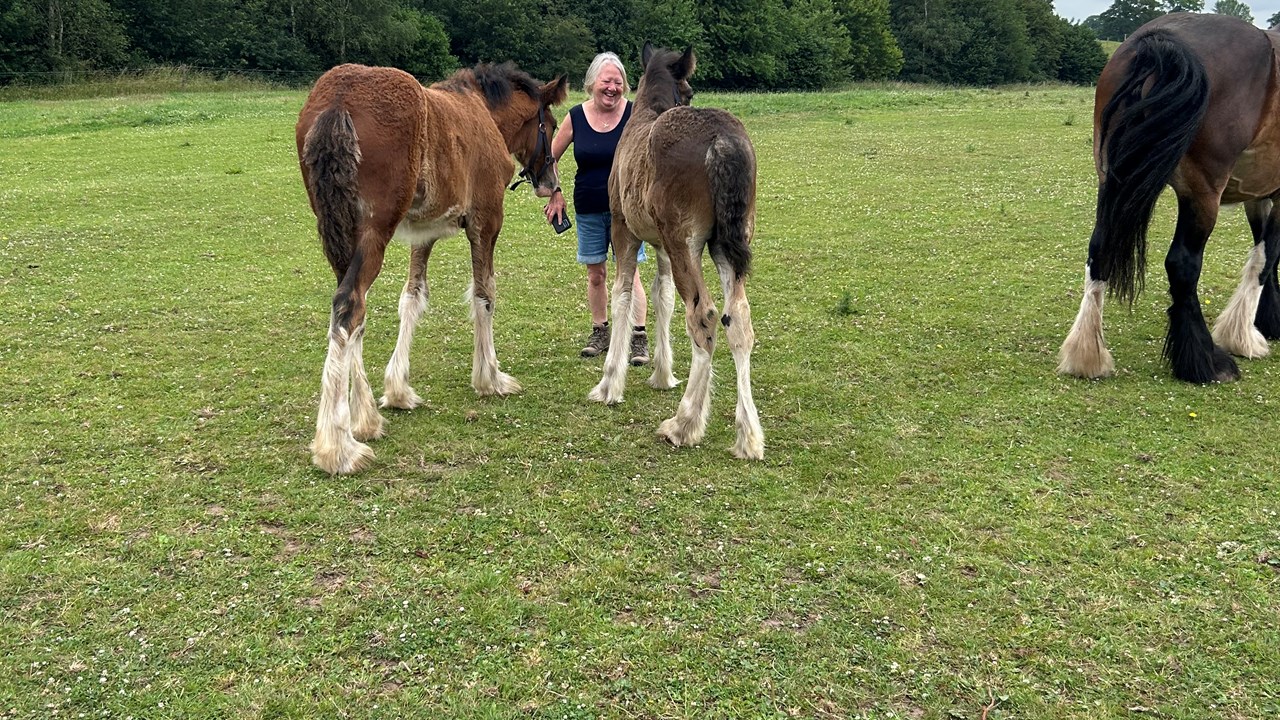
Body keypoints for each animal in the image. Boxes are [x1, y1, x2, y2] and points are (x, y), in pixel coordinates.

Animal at [296, 63, 567, 474]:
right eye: (549, 124)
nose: (550, 183)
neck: (484, 111)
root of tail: (338, 99)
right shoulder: (486, 221)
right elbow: (484, 294)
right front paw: (490, 377)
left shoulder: (423, 232)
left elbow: (412, 297)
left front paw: (398, 390)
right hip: (375, 231)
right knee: (350, 304)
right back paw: (339, 447)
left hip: (340, 234)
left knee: (352, 312)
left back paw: (365, 418)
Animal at [588, 44, 765, 460]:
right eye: (689, 90)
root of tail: (722, 139)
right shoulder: (662, 247)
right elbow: (662, 296)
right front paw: (662, 374)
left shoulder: (624, 230)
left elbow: (622, 294)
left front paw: (609, 384)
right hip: (722, 248)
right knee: (738, 319)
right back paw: (748, 435)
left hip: (688, 245)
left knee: (704, 316)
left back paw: (684, 424)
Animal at [1058, 13, 1280, 384]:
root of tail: (1160, 40)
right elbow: (1267, 257)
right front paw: (1246, 336)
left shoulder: (1259, 195)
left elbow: (1266, 256)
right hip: (1202, 196)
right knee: (1183, 265)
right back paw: (1206, 363)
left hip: (1112, 180)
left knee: (1099, 252)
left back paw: (1086, 355)